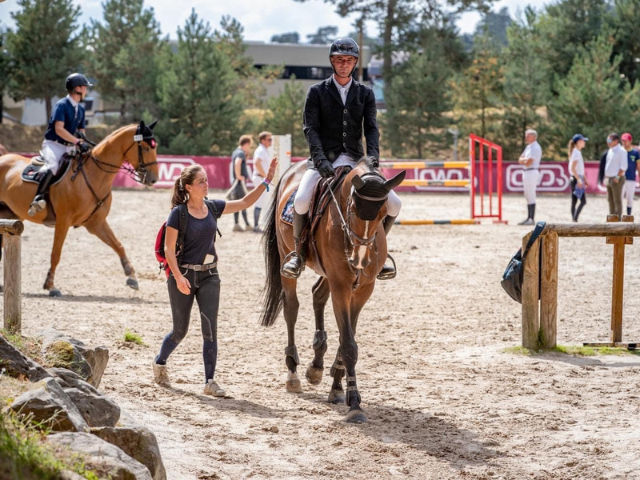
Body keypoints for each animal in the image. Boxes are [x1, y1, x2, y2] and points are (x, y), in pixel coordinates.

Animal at [0, 122, 159, 294]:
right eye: (145, 148)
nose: (154, 179)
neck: (94, 174)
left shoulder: (95, 223)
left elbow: (118, 245)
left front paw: (131, 276)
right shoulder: (63, 222)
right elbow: (56, 253)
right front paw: (50, 285)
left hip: (11, 216)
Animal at [260, 159, 404, 422]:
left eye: (382, 214)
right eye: (353, 210)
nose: (359, 259)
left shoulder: (362, 289)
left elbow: (347, 337)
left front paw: (338, 386)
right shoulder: (341, 285)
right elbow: (348, 344)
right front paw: (355, 404)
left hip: (330, 275)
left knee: (318, 295)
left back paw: (316, 366)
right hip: (288, 257)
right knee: (291, 308)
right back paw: (293, 373)